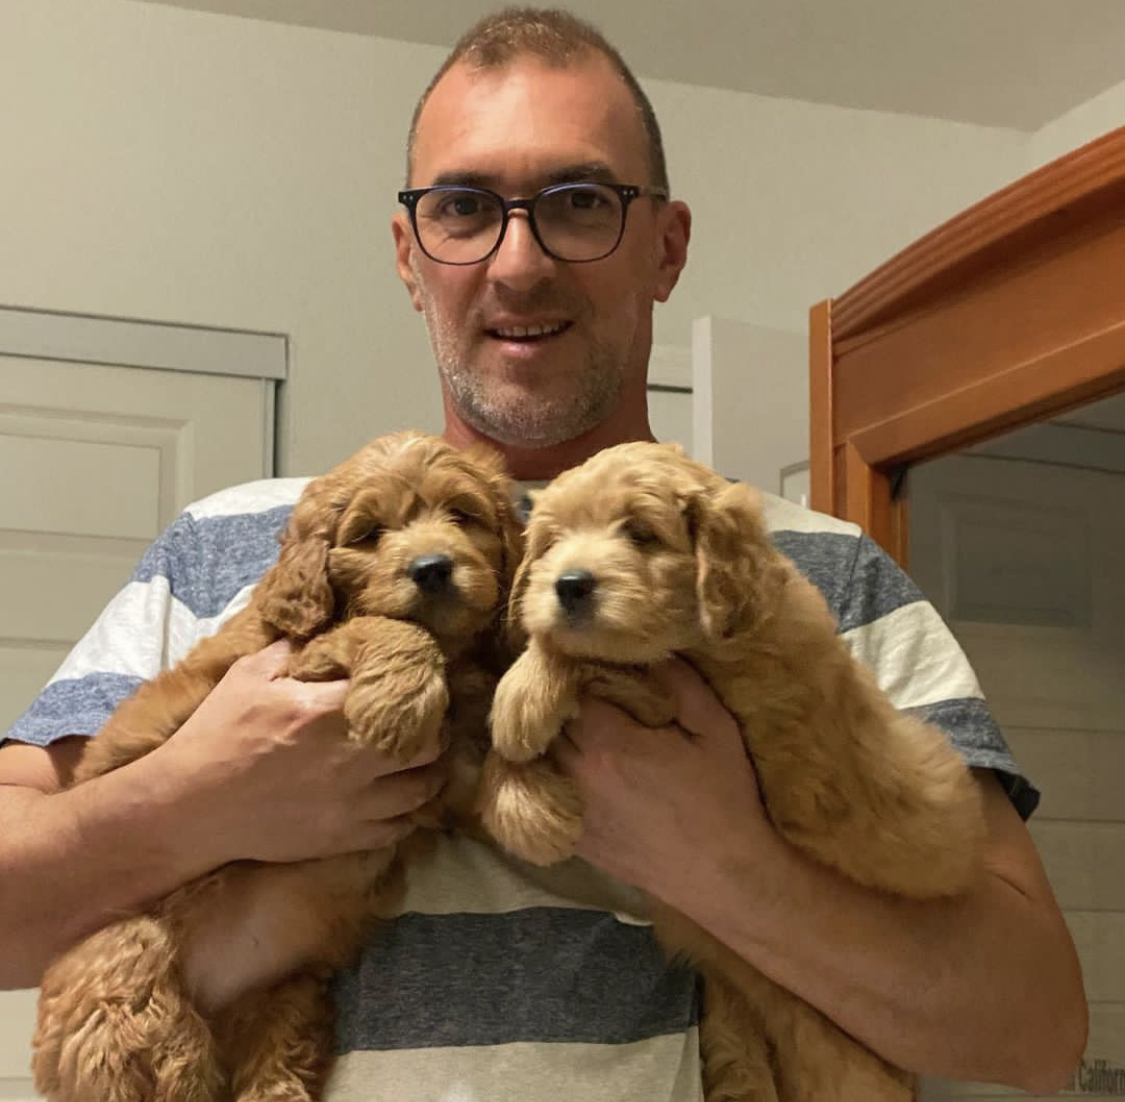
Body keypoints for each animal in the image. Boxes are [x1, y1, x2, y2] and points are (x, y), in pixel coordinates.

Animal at [33, 430, 522, 1102]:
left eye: (463, 516)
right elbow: (384, 626)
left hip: (290, 1002)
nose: (432, 569)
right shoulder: (293, 662)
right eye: (370, 533)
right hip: (121, 961)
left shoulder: (452, 781)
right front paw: (400, 702)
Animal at [479, 440, 986, 1102]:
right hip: (737, 1021)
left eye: (641, 534)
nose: (569, 585)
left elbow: (593, 658)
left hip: (842, 1062)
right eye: (551, 543)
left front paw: (523, 697)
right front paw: (524, 803)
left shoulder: (692, 693)